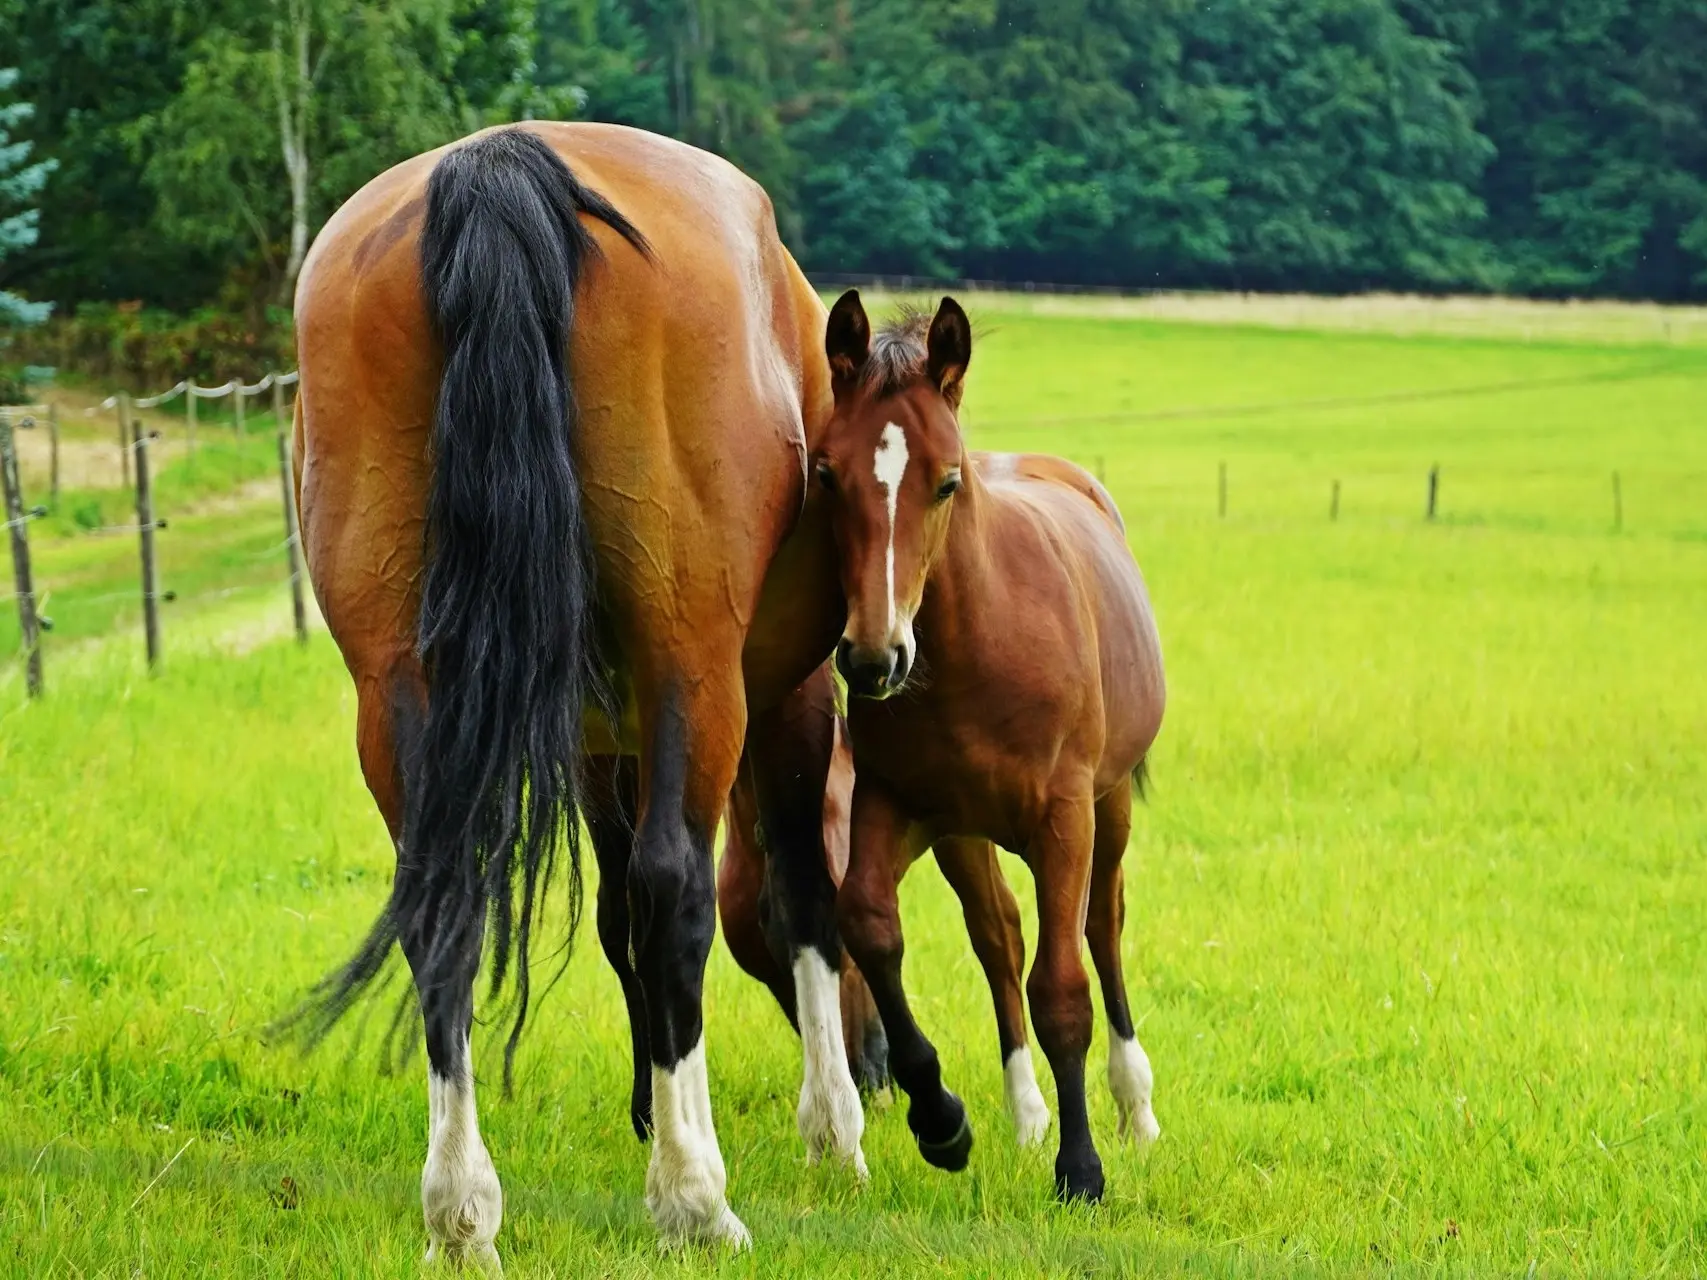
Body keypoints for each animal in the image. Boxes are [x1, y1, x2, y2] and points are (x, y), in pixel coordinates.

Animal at [815, 290, 1167, 1201]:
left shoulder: (1063, 820)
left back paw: (1134, 1108)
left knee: (1102, 928)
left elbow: (1063, 988)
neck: (980, 641)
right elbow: (869, 925)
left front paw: (1081, 1170)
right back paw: (1026, 1114)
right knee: (997, 936)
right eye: (826, 474)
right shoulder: (896, 805)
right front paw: (941, 1120)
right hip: (962, 836)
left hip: (1108, 808)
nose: (872, 658)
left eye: (944, 481)